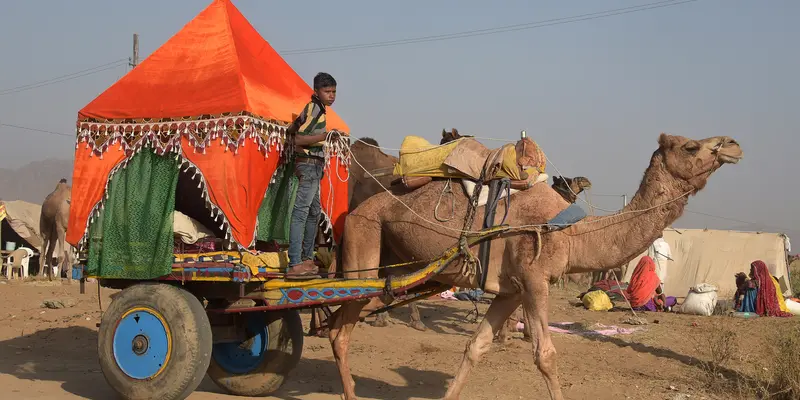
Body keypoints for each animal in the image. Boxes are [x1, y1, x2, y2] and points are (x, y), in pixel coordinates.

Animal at [328, 133, 740, 398]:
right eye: (691, 145)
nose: (733, 144)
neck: (572, 232)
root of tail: (354, 211)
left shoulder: (510, 290)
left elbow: (476, 346)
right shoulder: (534, 279)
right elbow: (545, 355)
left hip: (391, 266)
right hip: (363, 246)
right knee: (339, 329)